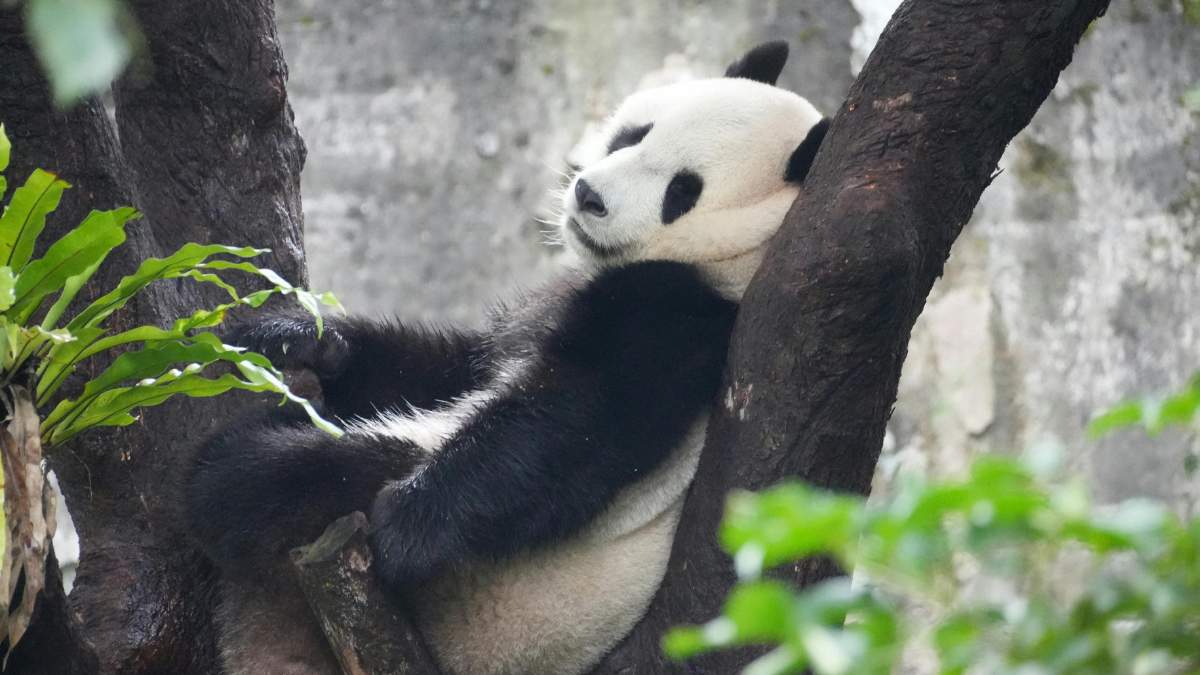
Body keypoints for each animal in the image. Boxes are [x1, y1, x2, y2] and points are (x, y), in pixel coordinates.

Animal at [184, 40, 829, 675]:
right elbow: (456, 364)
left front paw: (403, 524)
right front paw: (299, 337)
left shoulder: (684, 316)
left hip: (491, 613)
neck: (735, 255)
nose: (589, 197)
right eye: (635, 135)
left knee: (318, 478)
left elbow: (576, 419)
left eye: (682, 191)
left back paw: (232, 474)